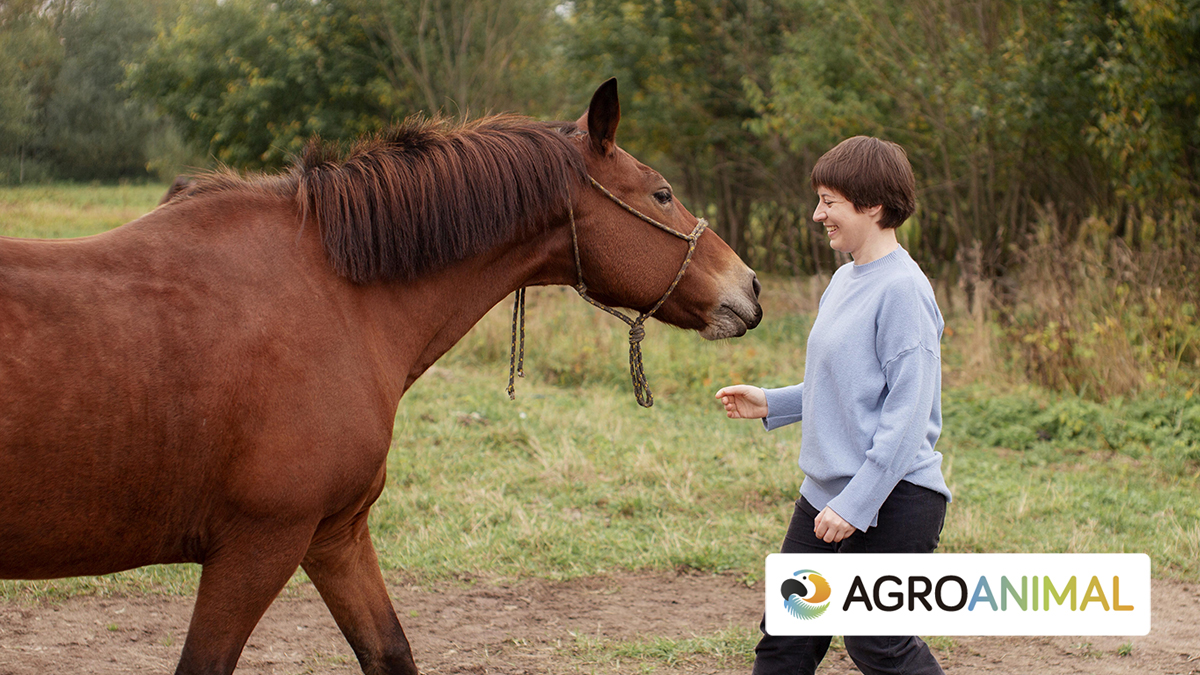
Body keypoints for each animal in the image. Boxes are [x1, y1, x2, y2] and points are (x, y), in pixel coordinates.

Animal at [2, 79, 758, 672]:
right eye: (661, 193)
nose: (748, 287)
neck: (335, 295)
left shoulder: (334, 536)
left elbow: (390, 651)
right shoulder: (257, 546)